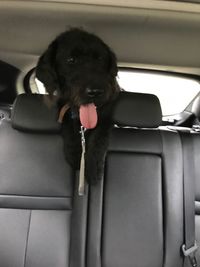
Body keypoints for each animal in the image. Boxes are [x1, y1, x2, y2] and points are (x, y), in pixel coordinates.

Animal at [35, 28, 119, 184]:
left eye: (100, 59)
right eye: (71, 60)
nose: (95, 92)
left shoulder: (106, 114)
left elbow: (99, 136)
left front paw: (93, 167)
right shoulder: (64, 111)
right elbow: (69, 129)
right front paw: (75, 154)